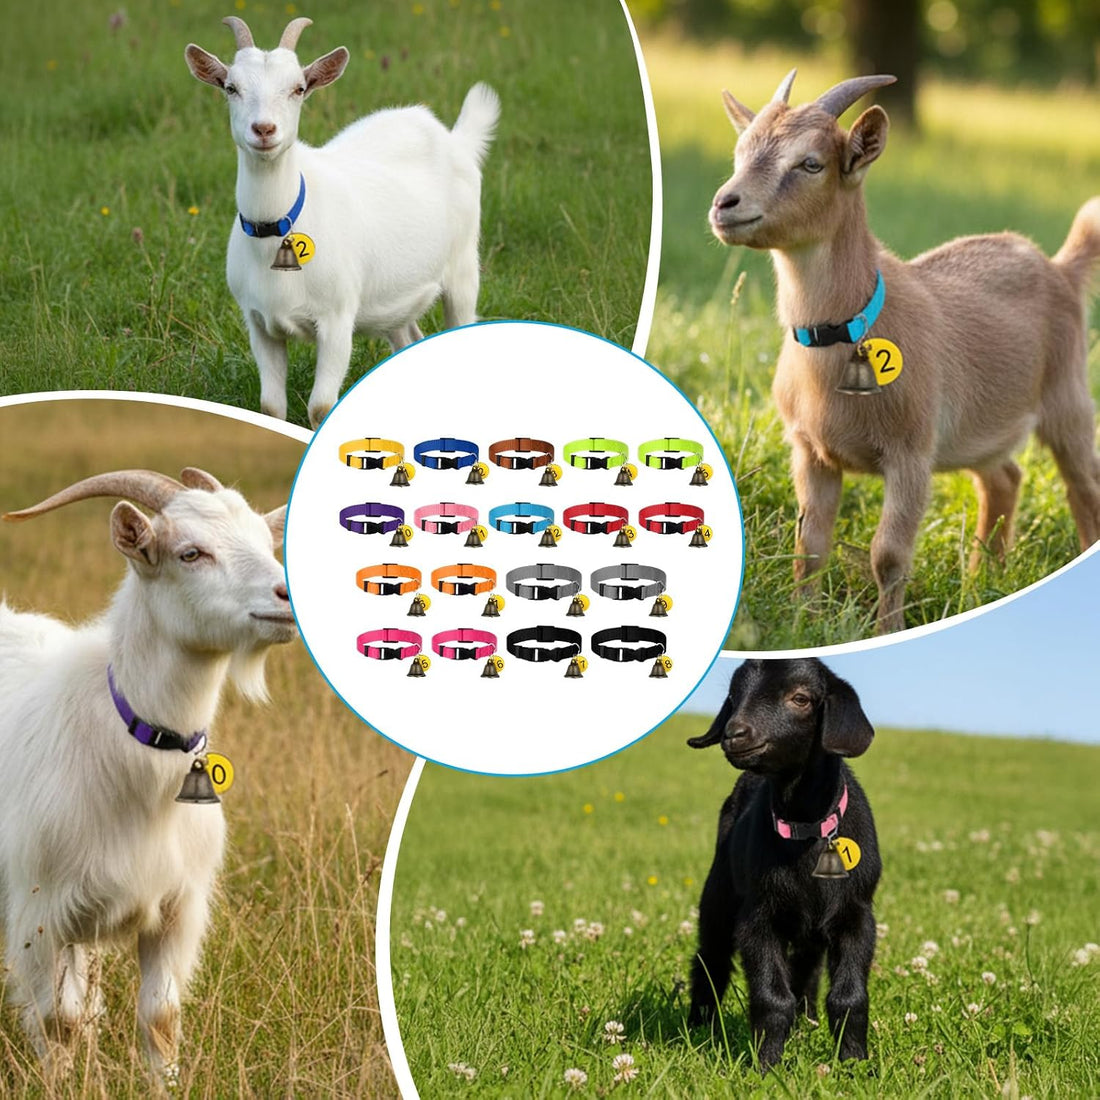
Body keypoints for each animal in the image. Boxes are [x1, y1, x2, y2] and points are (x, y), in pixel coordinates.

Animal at [0, 469, 295, 1079]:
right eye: (191, 553)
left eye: (266, 541)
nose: (288, 598)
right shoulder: (39, 914)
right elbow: (56, 1021)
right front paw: (62, 1084)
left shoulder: (176, 911)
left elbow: (160, 1017)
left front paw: (166, 1083)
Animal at [185, 17, 501, 428]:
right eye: (231, 88)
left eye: (299, 88)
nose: (264, 129)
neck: (277, 228)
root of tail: (454, 138)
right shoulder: (259, 324)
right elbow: (270, 407)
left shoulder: (336, 319)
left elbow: (320, 407)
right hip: (394, 296)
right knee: (409, 336)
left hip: (463, 268)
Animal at [687, 658, 880, 1071]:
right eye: (734, 696)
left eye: (801, 698)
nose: (735, 734)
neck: (806, 827)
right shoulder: (758, 918)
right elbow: (772, 998)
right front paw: (767, 1065)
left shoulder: (857, 915)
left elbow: (850, 997)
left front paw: (855, 1063)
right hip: (719, 897)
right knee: (711, 960)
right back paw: (698, 1025)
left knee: (806, 968)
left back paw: (807, 1021)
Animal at [709, 70, 1100, 634]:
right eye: (740, 152)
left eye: (811, 163)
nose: (726, 204)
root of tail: (1059, 266)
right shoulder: (810, 451)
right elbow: (810, 546)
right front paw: (804, 621)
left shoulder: (910, 453)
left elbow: (888, 555)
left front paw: (884, 629)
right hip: (979, 427)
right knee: (1004, 478)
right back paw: (981, 584)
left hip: (1067, 397)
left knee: (1083, 483)